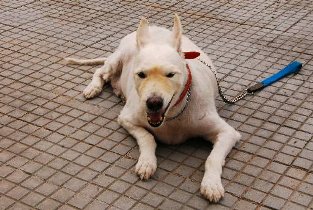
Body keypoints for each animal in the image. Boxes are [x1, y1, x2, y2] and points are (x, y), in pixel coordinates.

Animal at [64, 14, 240, 202]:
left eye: (170, 74)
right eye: (141, 74)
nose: (153, 103)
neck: (172, 115)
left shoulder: (228, 133)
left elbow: (213, 158)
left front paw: (211, 184)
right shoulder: (126, 119)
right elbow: (148, 137)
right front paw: (147, 162)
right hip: (117, 59)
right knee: (100, 72)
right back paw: (94, 88)